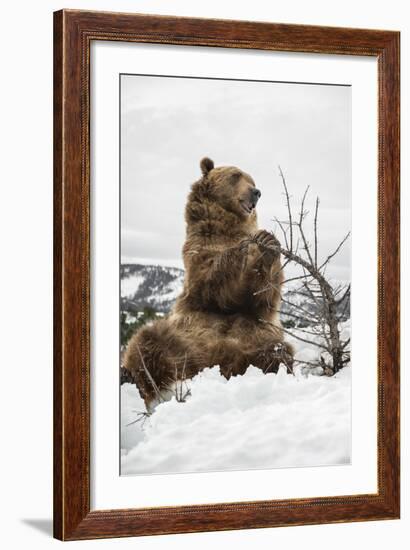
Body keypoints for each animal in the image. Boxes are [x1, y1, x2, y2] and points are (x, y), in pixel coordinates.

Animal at [123, 157, 294, 412]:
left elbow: (262, 298)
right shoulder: (199, 252)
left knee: (277, 349)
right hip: (180, 335)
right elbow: (214, 283)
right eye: (236, 176)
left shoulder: (257, 311)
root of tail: (213, 360)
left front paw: (267, 244)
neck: (227, 227)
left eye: (252, 179)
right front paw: (244, 249)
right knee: (146, 341)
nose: (256, 192)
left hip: (252, 335)